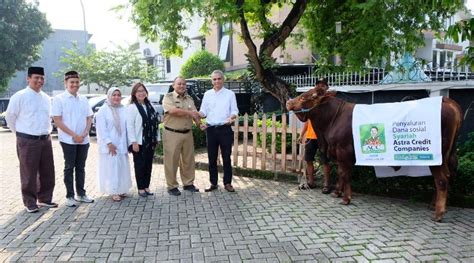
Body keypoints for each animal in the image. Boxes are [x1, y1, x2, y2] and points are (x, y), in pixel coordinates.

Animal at [286, 88, 462, 223]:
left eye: (305, 96)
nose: (288, 102)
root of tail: (447, 101)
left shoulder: (343, 151)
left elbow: (344, 174)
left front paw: (346, 198)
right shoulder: (340, 154)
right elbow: (343, 174)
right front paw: (337, 193)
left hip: (437, 157)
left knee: (441, 180)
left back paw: (438, 214)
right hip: (449, 155)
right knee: (447, 176)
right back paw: (435, 205)